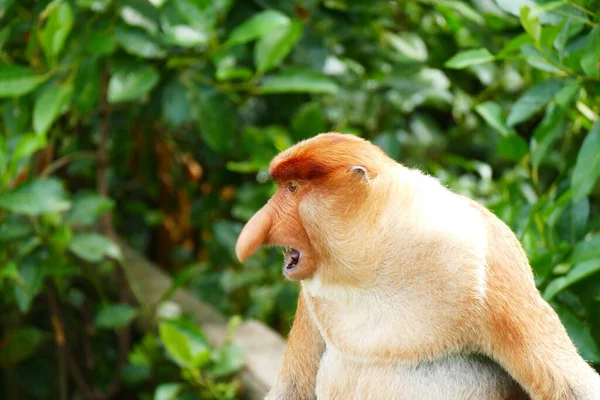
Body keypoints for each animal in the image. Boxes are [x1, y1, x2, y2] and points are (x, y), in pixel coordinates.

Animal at [233, 133, 600, 398]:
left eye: (293, 188)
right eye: (284, 186)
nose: (255, 229)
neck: (374, 260)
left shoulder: (488, 263)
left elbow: (570, 385)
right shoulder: (313, 299)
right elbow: (293, 386)